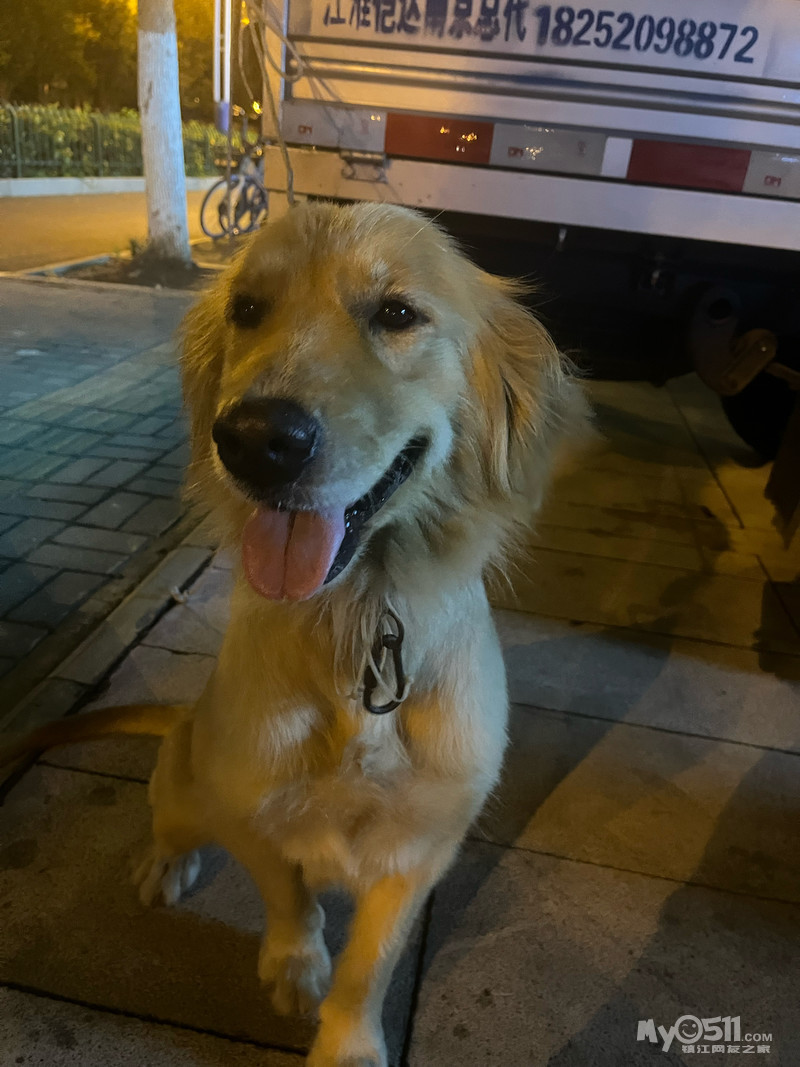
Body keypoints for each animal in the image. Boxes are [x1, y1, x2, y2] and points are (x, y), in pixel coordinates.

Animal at [3, 201, 587, 1066]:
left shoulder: (421, 848)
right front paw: (293, 964)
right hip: (186, 780)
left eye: (397, 313)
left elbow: (369, 963)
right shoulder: (250, 805)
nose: (255, 439)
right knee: (170, 818)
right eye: (247, 308)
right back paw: (163, 861)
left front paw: (345, 1039)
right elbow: (288, 896)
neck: (360, 620)